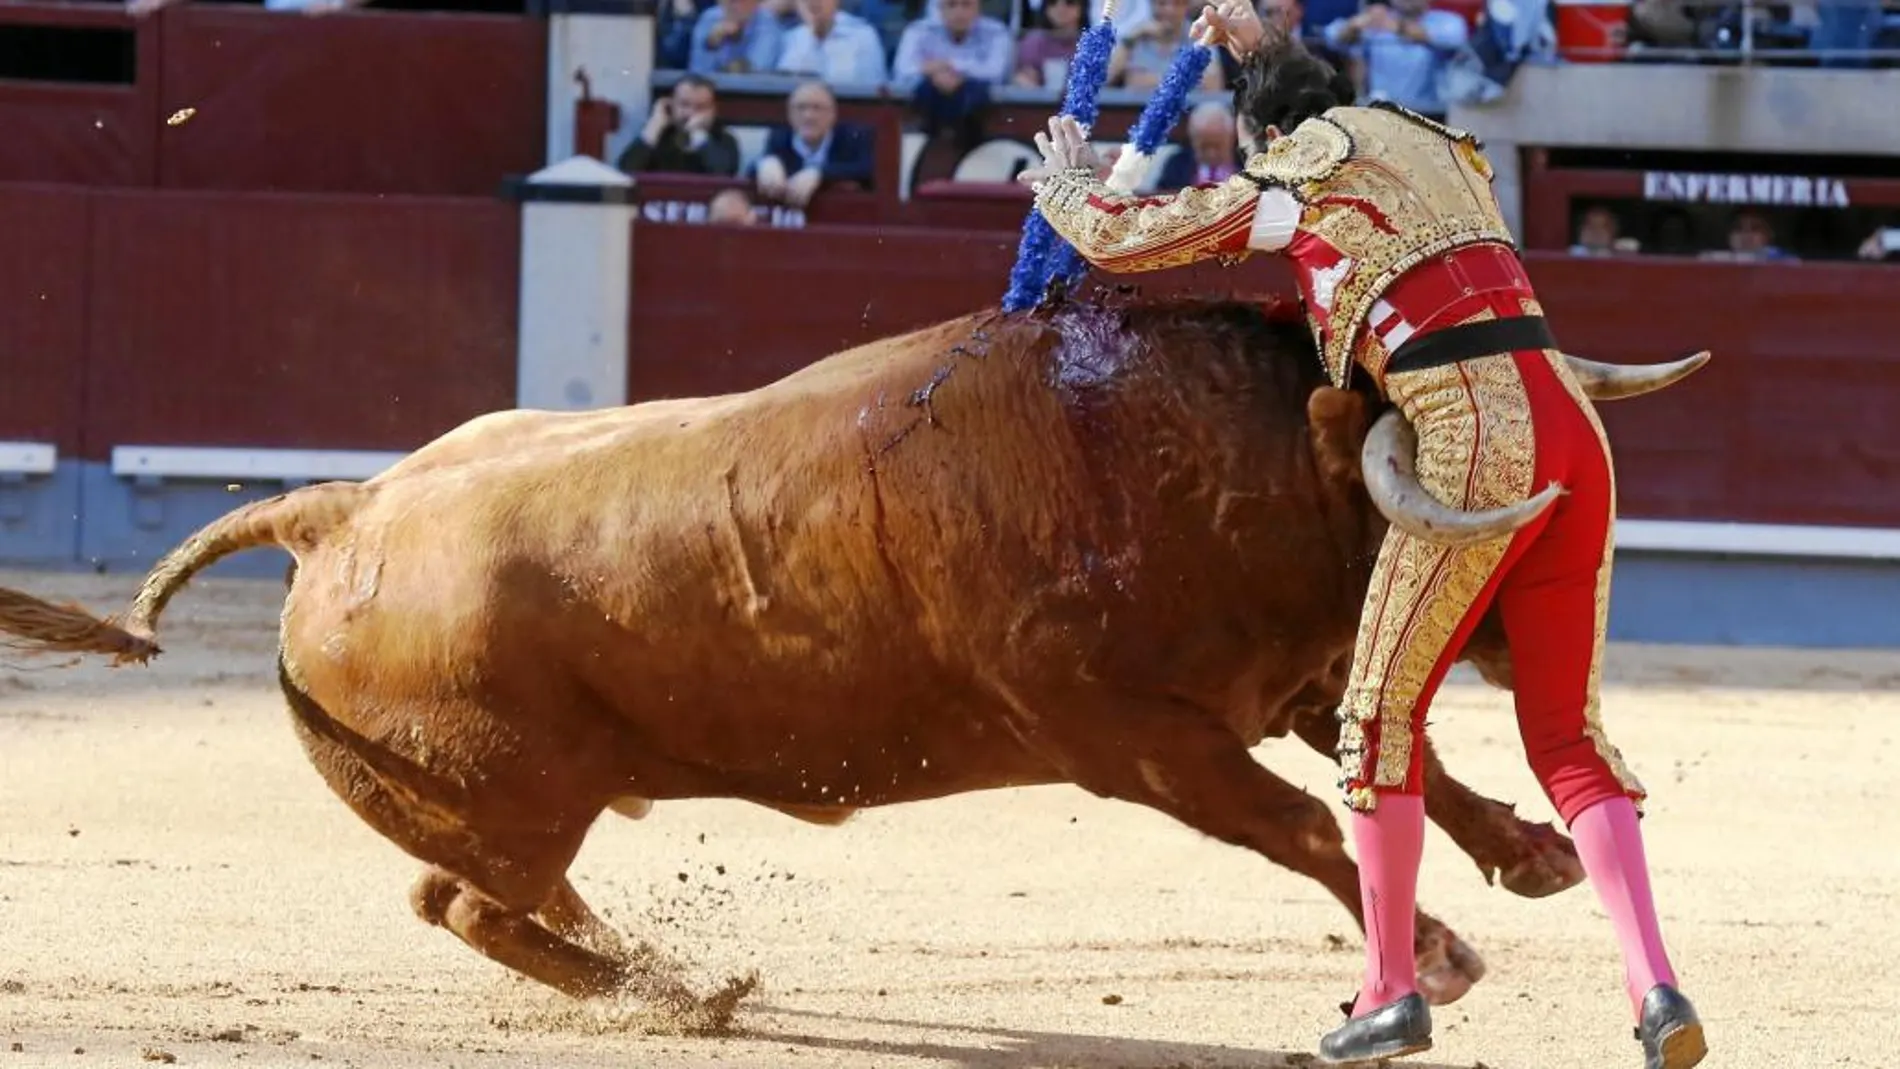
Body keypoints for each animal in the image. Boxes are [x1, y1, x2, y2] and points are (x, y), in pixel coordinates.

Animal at [0, 292, 1694, 1025]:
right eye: (1483, 486)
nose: (1571, 617)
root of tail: (342, 509)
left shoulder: (1260, 679)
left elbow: (1397, 761)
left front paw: (1534, 854)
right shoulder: (1137, 742)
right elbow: (1301, 824)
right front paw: (1444, 957)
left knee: (503, 898)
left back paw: (670, 979)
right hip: (511, 799)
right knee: (469, 899)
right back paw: (678, 997)